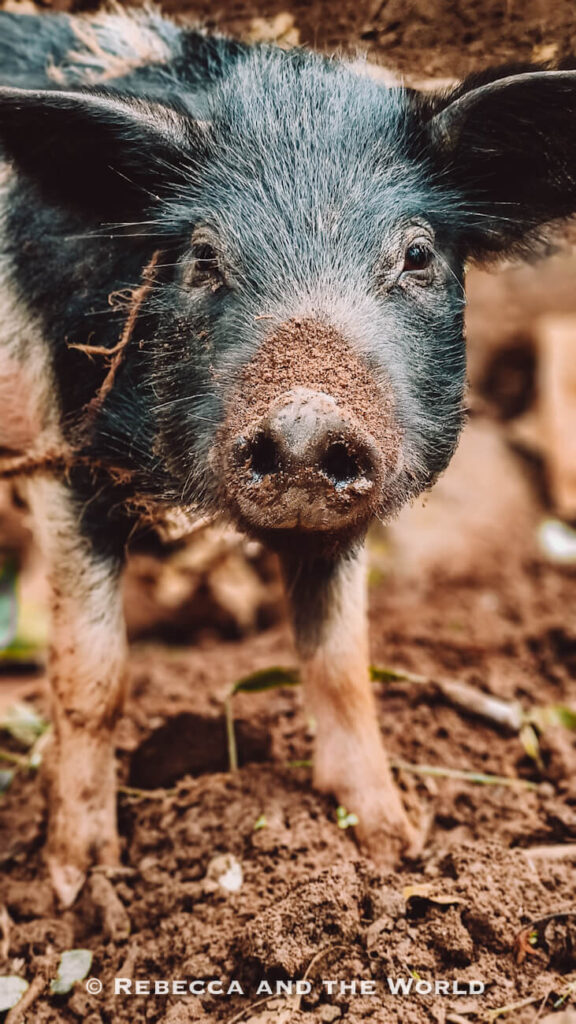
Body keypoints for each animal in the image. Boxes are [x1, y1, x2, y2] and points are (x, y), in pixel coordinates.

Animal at [1, 7, 576, 906]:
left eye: (417, 255)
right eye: (203, 256)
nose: (306, 421)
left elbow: (340, 661)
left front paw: (395, 847)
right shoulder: (65, 459)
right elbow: (91, 673)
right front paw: (79, 885)